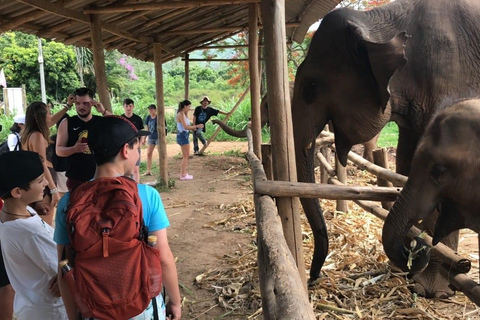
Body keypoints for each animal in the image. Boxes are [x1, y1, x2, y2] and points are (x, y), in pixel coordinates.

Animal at [290, 0, 480, 298]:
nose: (313, 278)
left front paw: (430, 288)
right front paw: (404, 270)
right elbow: (406, 161)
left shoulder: (452, 75)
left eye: (312, 86)